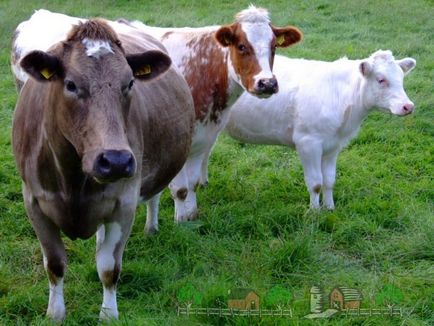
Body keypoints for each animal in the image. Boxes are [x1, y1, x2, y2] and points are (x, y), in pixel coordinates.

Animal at [11, 18, 195, 320]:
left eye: (130, 83)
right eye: (71, 84)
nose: (116, 160)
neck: (72, 179)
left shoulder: (124, 203)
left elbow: (109, 268)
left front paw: (109, 314)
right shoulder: (34, 203)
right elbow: (54, 264)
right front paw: (55, 314)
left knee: (154, 194)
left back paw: (151, 226)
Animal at [225, 51, 416, 209]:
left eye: (401, 78)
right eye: (381, 80)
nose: (408, 106)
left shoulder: (334, 145)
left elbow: (329, 180)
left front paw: (330, 208)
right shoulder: (308, 142)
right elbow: (316, 183)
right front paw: (314, 213)